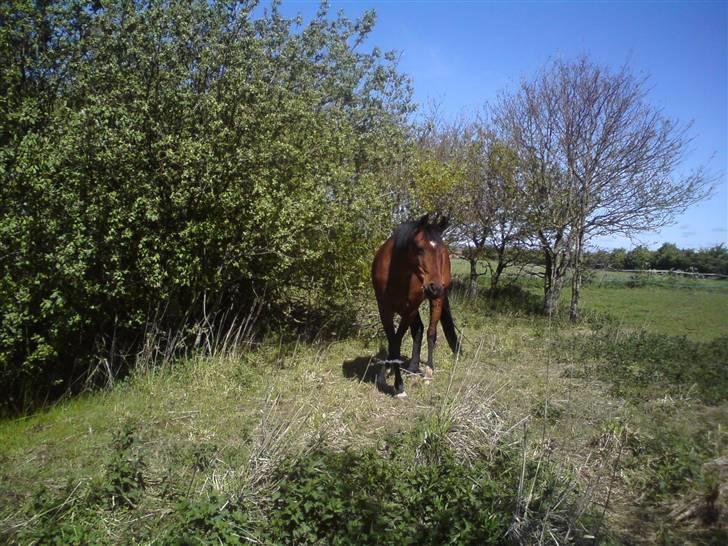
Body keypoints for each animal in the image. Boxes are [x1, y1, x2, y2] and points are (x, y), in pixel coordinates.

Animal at [372, 212, 458, 396]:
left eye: (441, 251)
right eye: (419, 249)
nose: (435, 287)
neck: (394, 275)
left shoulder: (408, 311)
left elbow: (397, 341)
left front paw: (399, 386)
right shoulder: (385, 309)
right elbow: (393, 341)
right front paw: (385, 376)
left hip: (435, 301)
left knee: (431, 333)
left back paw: (428, 372)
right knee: (418, 330)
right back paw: (412, 367)